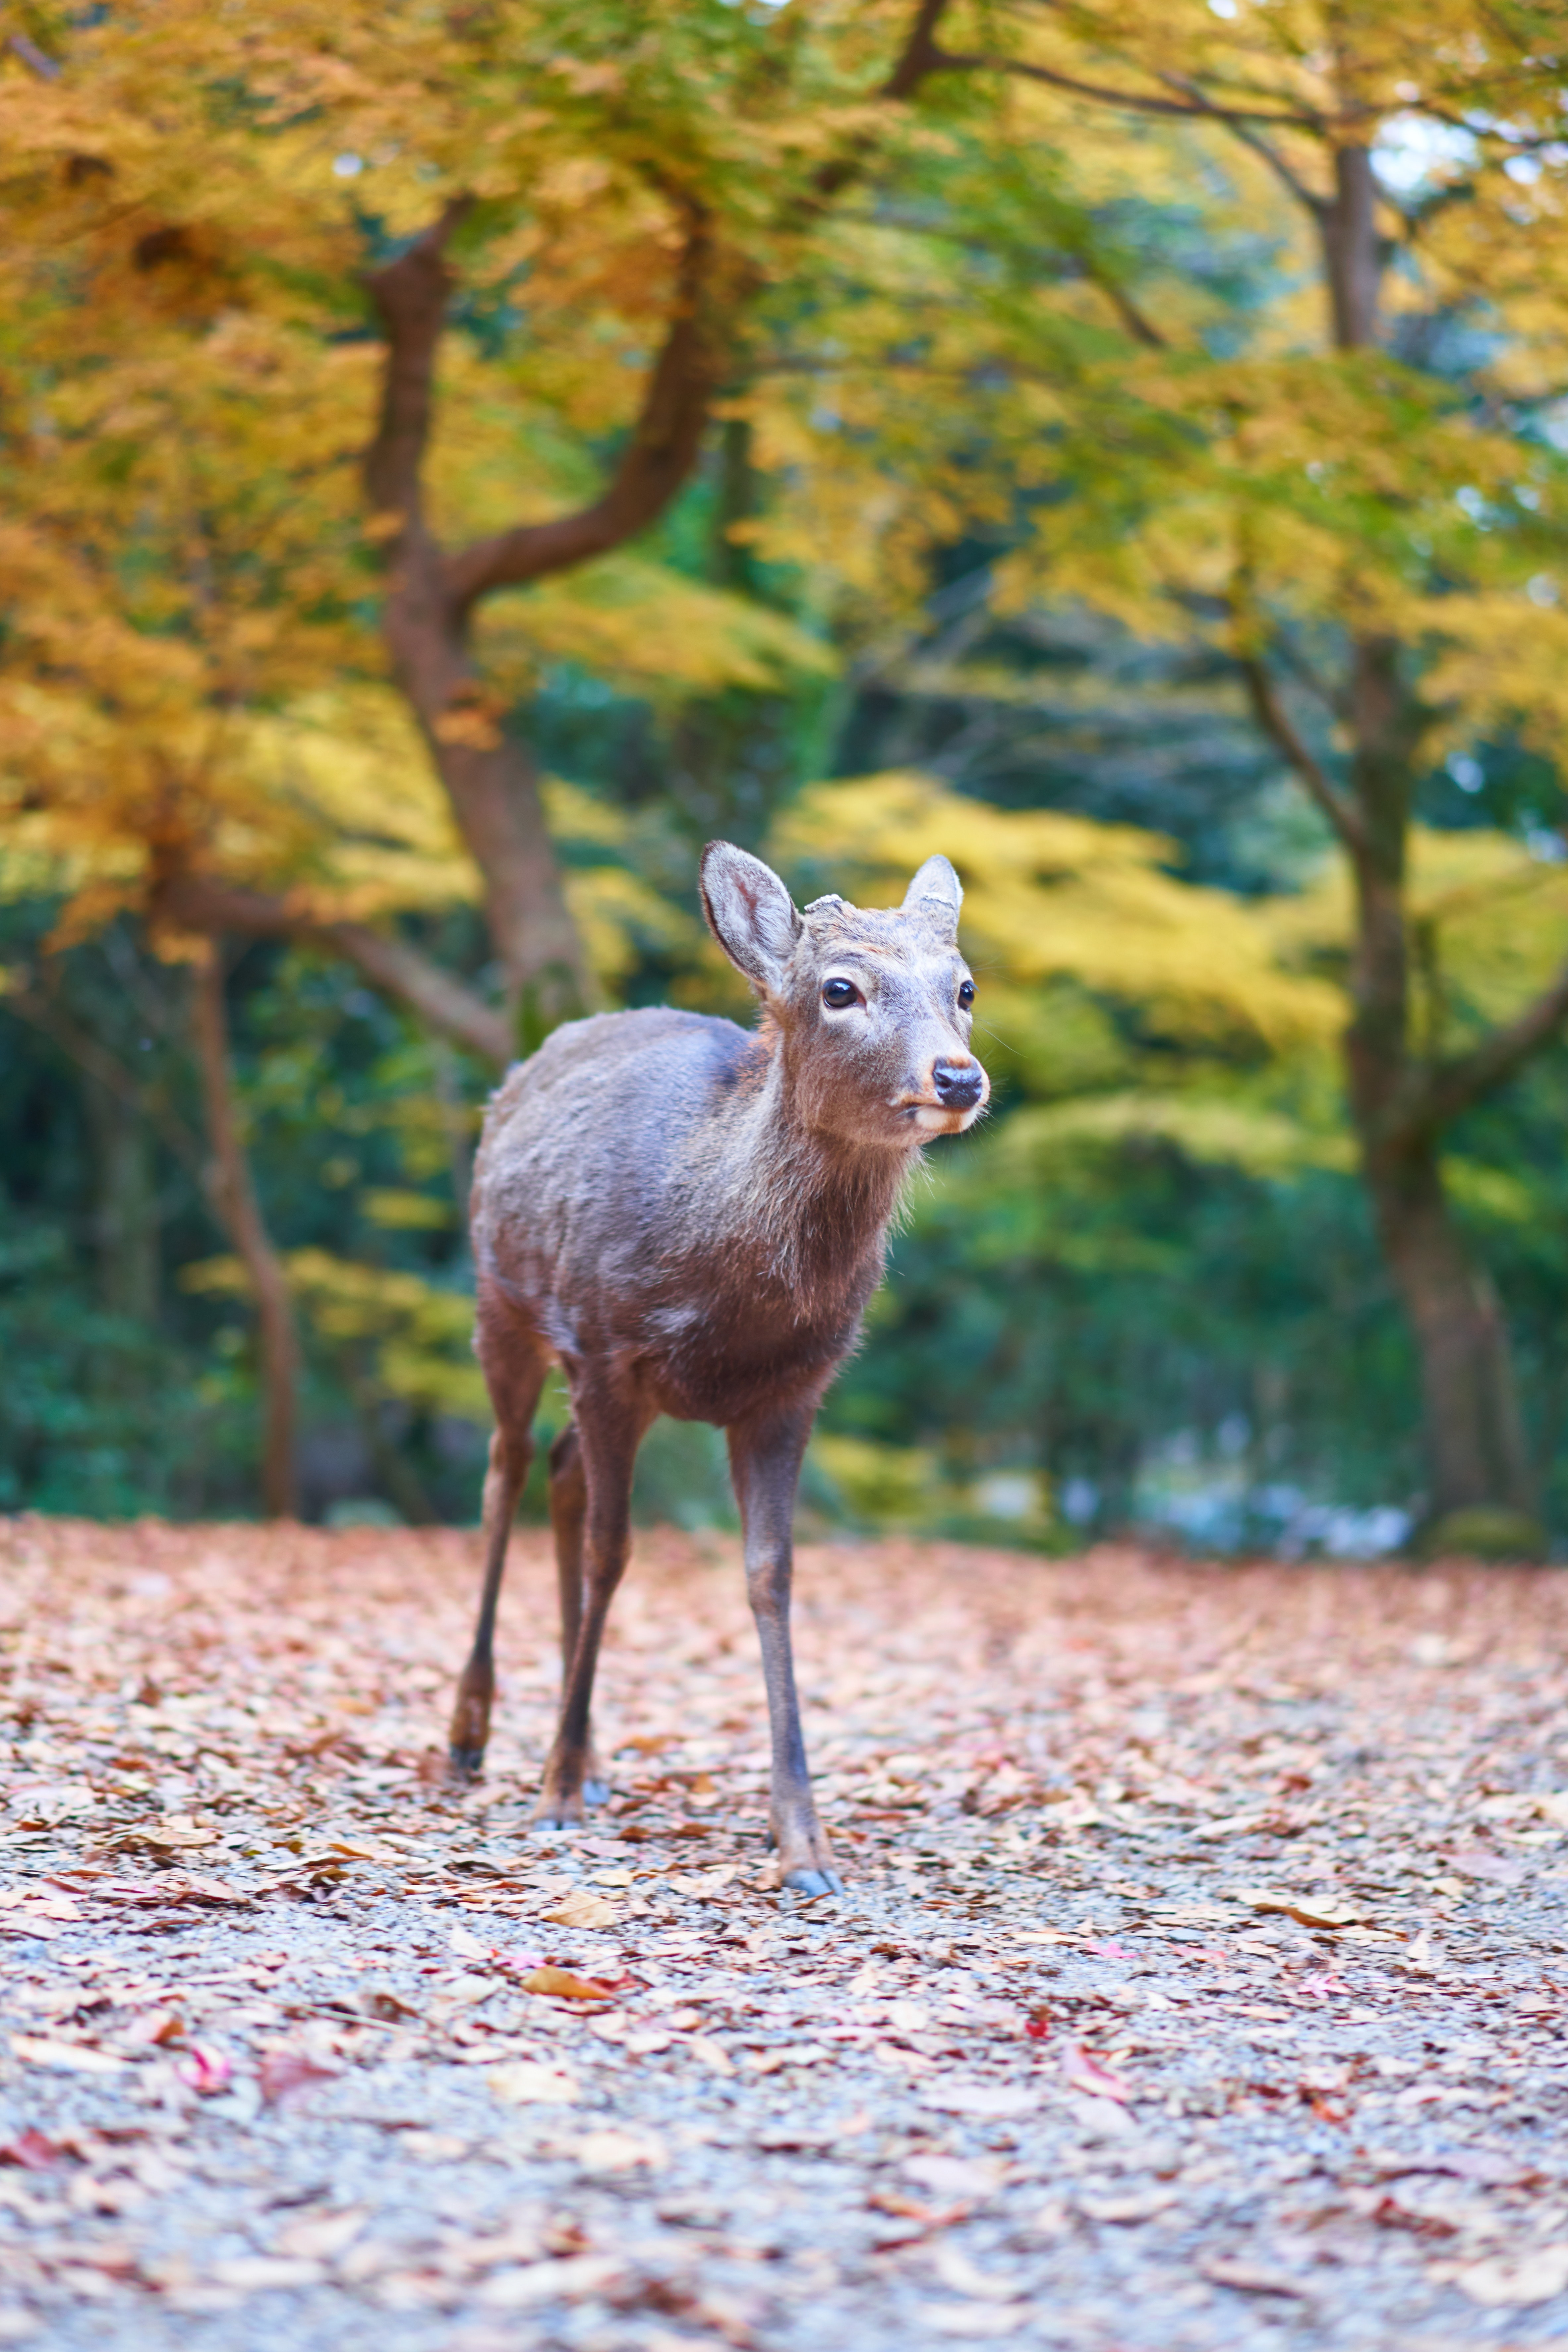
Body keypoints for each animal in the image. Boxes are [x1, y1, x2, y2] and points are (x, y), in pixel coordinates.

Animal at [446, 842, 987, 1891]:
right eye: (839, 988)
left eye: (964, 987)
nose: (957, 1077)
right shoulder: (605, 1346)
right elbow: (613, 1552)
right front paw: (553, 1795)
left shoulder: (792, 1391)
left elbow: (769, 1574)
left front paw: (804, 1842)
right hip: (504, 1301)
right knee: (504, 1470)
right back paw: (473, 1735)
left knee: (560, 1475)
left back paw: (591, 1752)